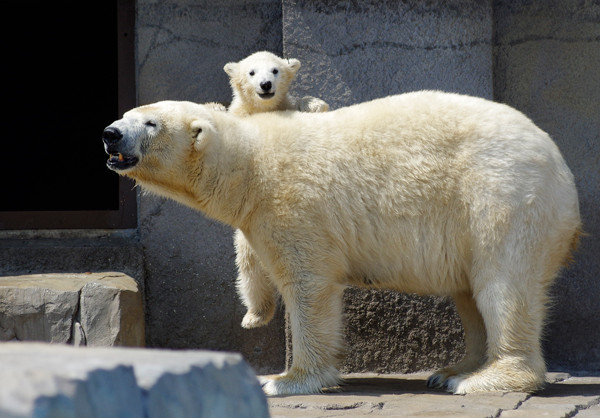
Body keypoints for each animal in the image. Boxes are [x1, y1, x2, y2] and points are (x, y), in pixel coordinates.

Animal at [103, 91, 580, 396]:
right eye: (127, 112)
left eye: (150, 122)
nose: (110, 133)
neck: (250, 162)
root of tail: (561, 169)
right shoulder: (256, 216)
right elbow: (251, 256)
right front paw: (255, 314)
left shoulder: (293, 204)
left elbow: (309, 285)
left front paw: (284, 380)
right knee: (469, 292)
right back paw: (452, 370)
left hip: (501, 195)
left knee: (503, 285)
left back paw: (483, 379)